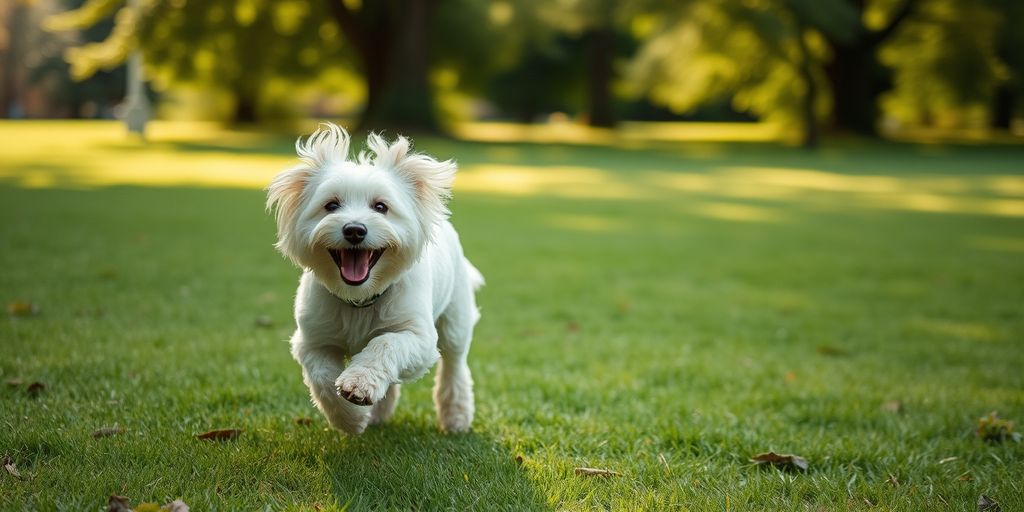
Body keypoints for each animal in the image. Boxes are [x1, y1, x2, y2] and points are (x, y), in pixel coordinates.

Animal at [268, 122, 483, 432]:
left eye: (381, 207)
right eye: (331, 205)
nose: (354, 230)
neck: (360, 298)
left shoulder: (418, 338)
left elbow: (385, 344)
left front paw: (358, 383)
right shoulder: (312, 340)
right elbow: (322, 377)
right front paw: (351, 417)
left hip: (455, 320)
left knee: (454, 366)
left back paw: (456, 417)